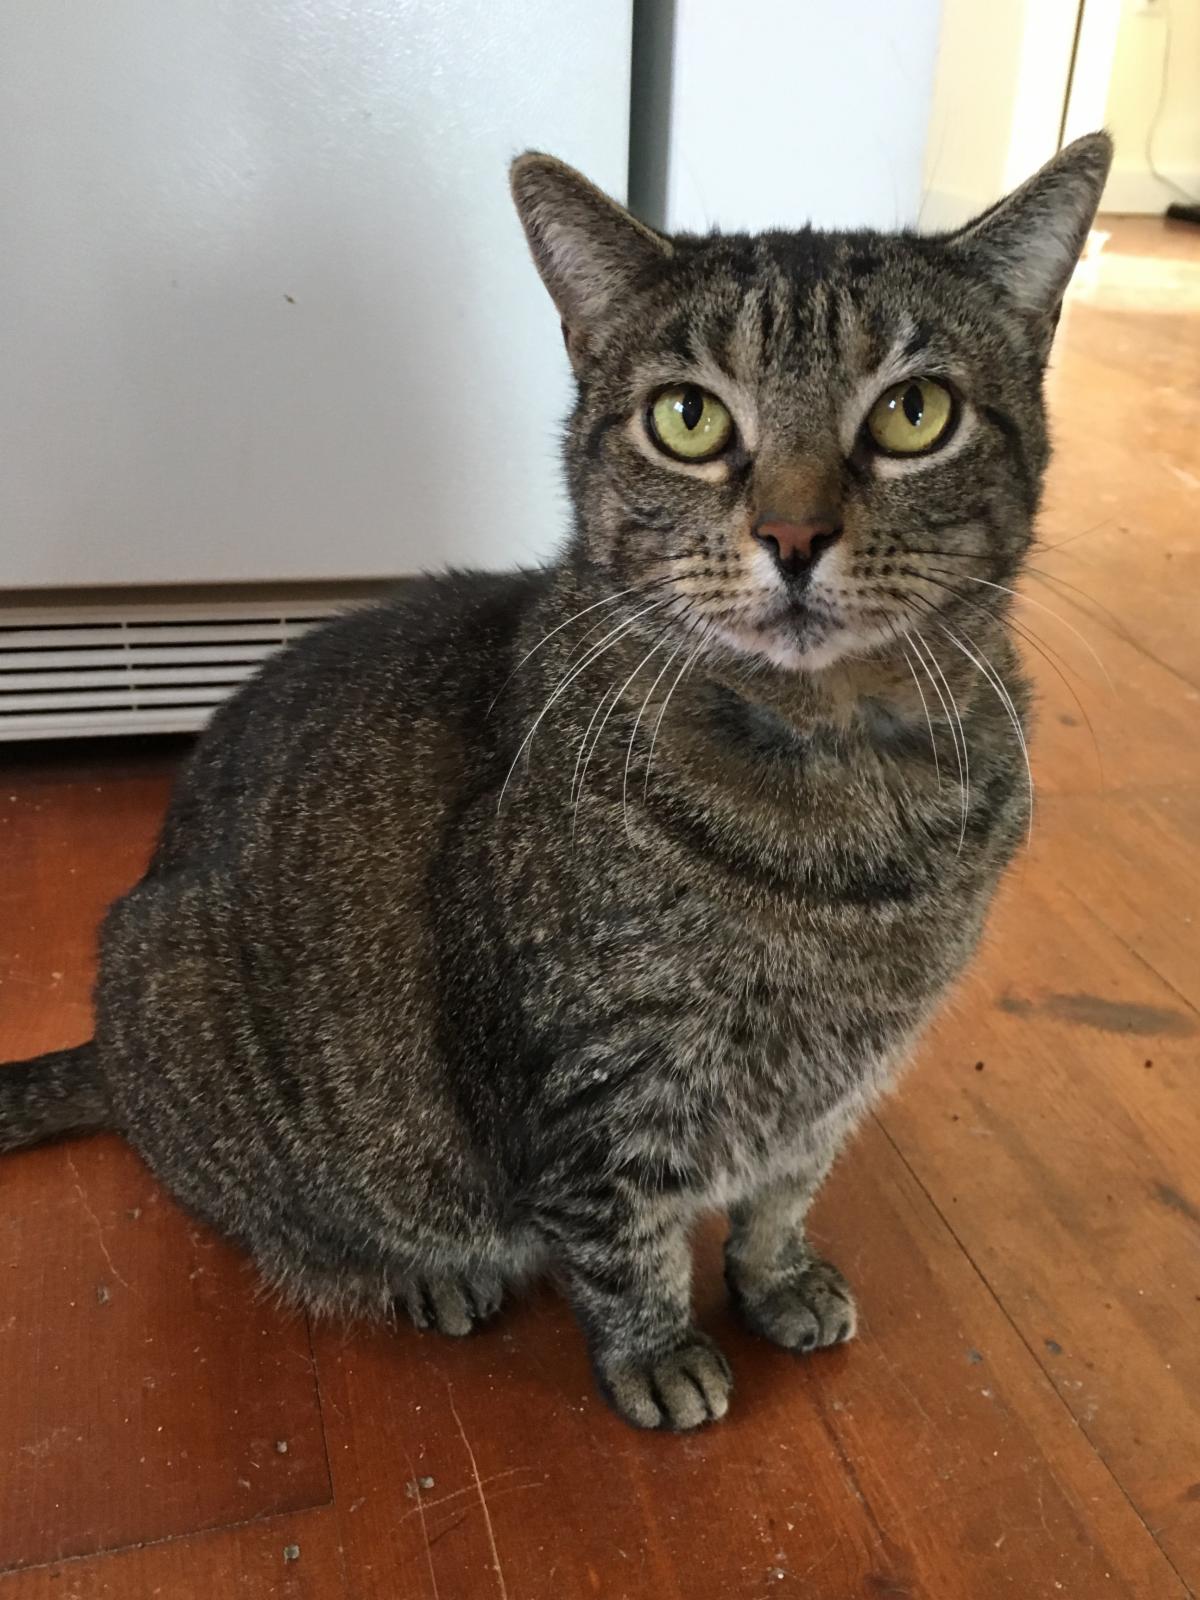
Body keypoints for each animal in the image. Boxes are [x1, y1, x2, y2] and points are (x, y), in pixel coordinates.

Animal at [0, 132, 1112, 1430]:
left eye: (914, 411)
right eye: (688, 418)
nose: (793, 535)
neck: (843, 783)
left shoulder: (835, 1083)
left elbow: (782, 1194)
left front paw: (777, 1279)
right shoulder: (592, 1084)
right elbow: (623, 1236)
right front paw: (657, 1351)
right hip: (187, 1007)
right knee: (288, 1227)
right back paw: (423, 1276)